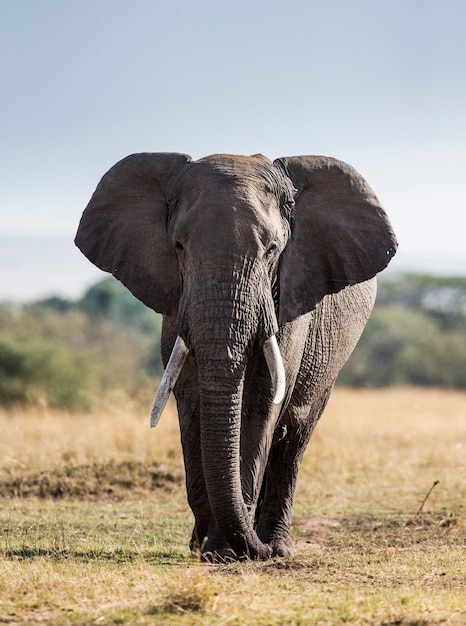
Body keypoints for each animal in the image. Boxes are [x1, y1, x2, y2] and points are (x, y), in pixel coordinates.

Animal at [75, 152, 396, 560]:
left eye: (272, 249)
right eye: (178, 246)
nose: (257, 551)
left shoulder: (287, 300)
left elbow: (262, 401)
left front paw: (228, 552)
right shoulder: (177, 304)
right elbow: (192, 397)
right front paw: (207, 551)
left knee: (295, 434)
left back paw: (276, 545)